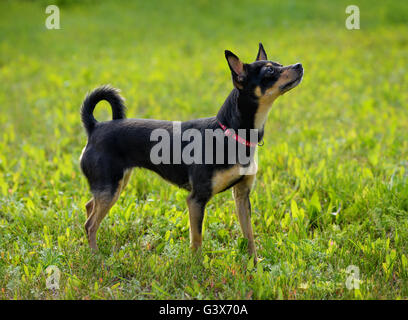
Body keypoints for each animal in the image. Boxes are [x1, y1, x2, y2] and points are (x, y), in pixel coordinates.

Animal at [79, 43, 302, 262]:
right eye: (270, 71)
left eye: (280, 64)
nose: (299, 65)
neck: (231, 133)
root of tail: (95, 127)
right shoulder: (196, 199)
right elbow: (197, 240)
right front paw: (196, 268)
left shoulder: (241, 195)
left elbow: (249, 235)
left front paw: (254, 264)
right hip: (110, 188)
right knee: (90, 224)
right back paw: (95, 257)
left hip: (116, 184)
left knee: (90, 207)